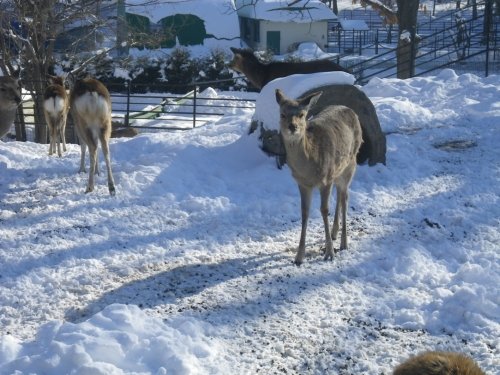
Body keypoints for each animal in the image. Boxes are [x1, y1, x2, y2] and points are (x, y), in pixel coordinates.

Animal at [276, 88, 362, 266]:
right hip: (338, 170)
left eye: (302, 114)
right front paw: (299, 257)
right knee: (340, 195)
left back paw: (343, 243)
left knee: (345, 197)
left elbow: (324, 210)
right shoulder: (302, 183)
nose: (292, 126)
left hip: (351, 163)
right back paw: (335, 233)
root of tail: (350, 110)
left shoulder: (325, 178)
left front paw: (329, 253)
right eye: (282, 114)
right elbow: (304, 212)